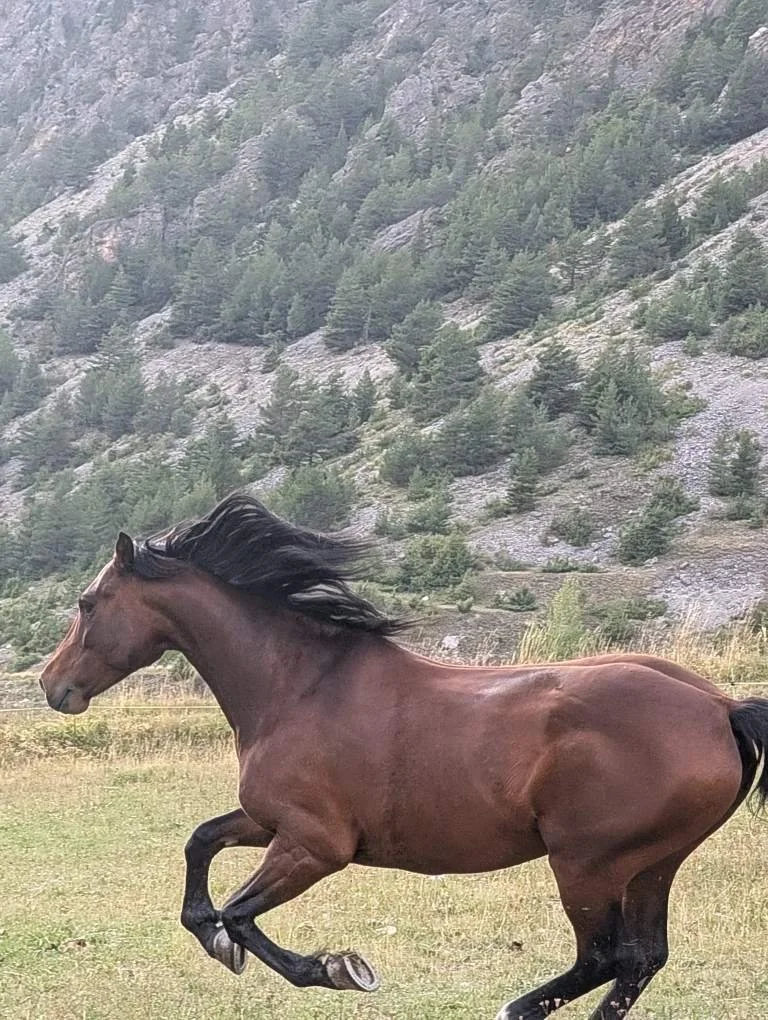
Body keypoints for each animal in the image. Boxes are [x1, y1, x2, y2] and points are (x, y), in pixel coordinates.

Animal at [40, 492, 768, 1019]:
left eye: (87, 602)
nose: (53, 686)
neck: (298, 684)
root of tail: (719, 708)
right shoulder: (272, 822)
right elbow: (200, 850)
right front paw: (222, 944)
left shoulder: (315, 845)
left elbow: (239, 915)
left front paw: (338, 969)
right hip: (652, 864)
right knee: (640, 959)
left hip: (587, 864)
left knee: (605, 957)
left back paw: (514, 1009)